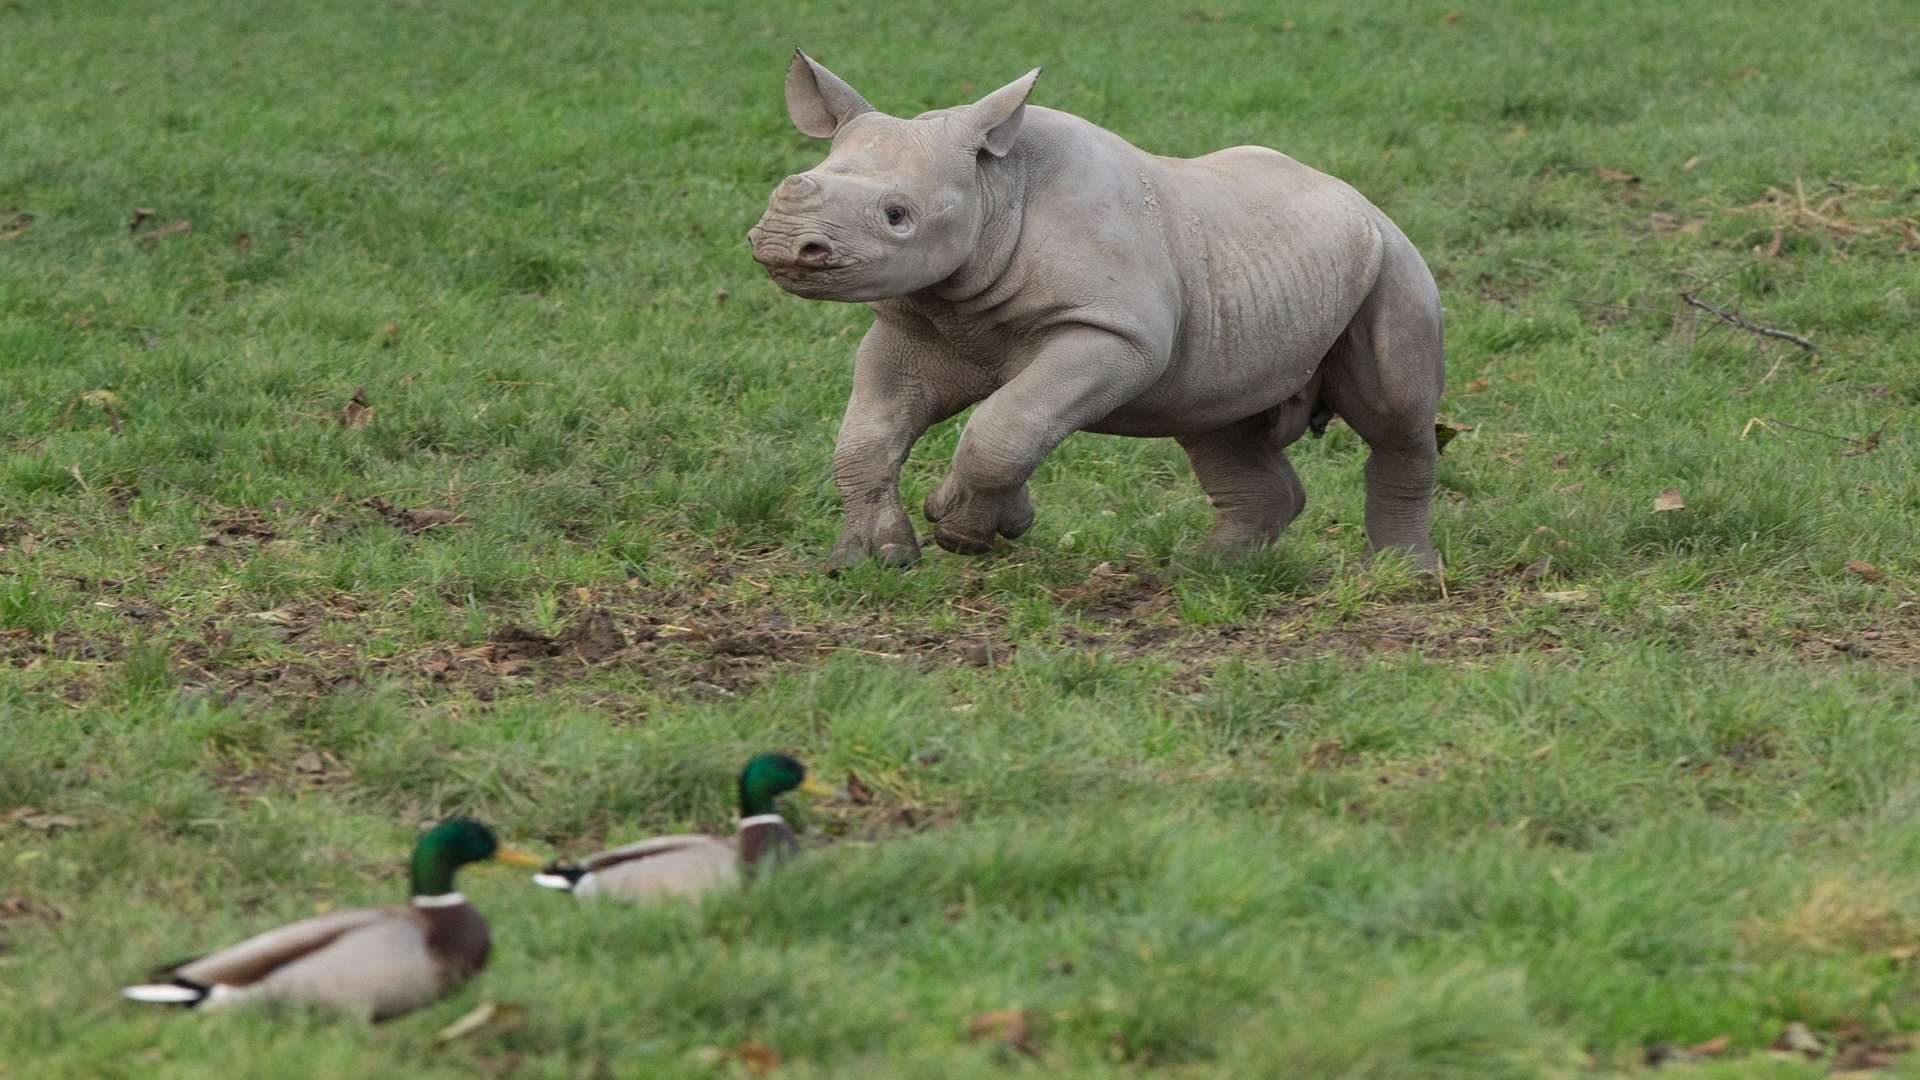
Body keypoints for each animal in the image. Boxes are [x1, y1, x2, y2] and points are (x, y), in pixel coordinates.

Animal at [748, 53, 1443, 568]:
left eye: (898, 215)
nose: (784, 244)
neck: (994, 190)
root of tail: (1359, 198)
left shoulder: (1113, 331)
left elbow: (1004, 427)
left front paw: (963, 527)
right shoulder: (915, 326)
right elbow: (867, 437)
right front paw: (870, 559)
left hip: (1393, 261)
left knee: (1395, 416)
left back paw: (1399, 575)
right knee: (1213, 420)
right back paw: (1206, 571)